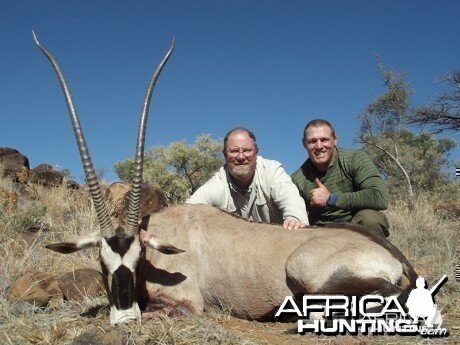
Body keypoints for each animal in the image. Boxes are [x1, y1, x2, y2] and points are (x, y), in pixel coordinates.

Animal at [35, 31, 416, 322]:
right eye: (102, 262)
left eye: (138, 258)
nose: (125, 318)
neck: (164, 234)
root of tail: (394, 258)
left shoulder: (188, 304)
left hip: (304, 269)